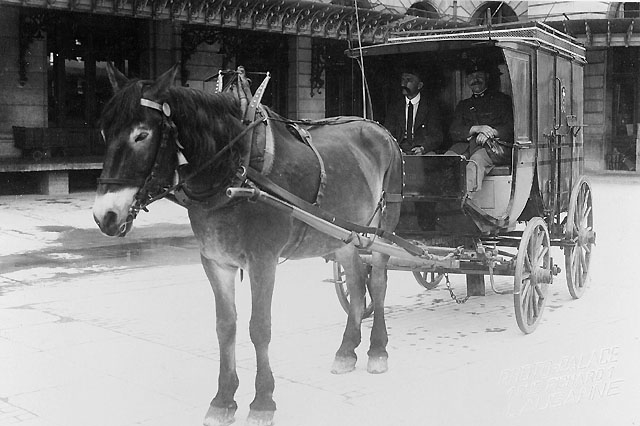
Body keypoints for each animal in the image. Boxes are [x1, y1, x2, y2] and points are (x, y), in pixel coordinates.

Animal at [92, 63, 403, 426]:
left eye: (141, 135)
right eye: (104, 133)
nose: (105, 215)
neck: (233, 171)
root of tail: (380, 129)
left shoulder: (262, 261)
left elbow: (259, 328)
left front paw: (263, 400)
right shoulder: (215, 262)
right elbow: (225, 327)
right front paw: (224, 398)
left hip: (381, 229)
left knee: (377, 283)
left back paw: (377, 349)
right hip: (342, 234)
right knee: (355, 282)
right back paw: (346, 350)